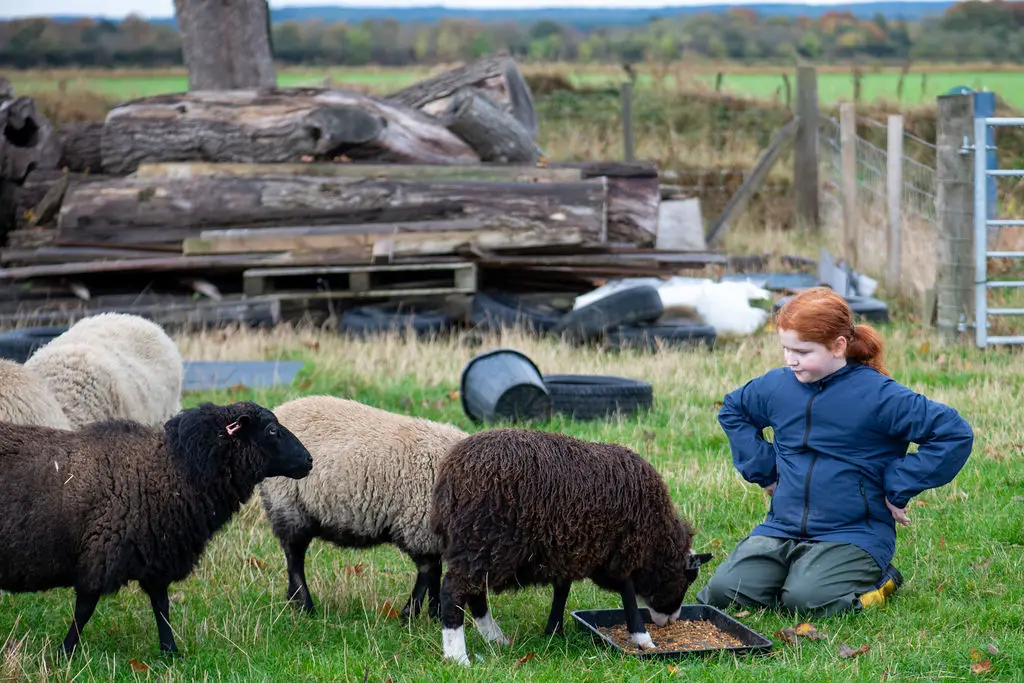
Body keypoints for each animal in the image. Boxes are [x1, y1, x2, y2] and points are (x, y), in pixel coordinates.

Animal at [0, 400, 313, 656]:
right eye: (271, 430)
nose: (309, 460)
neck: (171, 470)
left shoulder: (157, 552)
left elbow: (161, 605)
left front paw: (170, 652)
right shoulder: (102, 552)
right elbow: (85, 609)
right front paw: (65, 651)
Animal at [258, 395, 469, 622]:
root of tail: (282, 408)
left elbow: (435, 572)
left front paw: (434, 613)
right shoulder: (417, 526)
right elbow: (428, 570)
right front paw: (409, 616)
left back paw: (294, 601)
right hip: (288, 504)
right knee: (294, 557)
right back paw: (305, 606)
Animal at [429, 427, 712, 665]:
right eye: (686, 580)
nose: (672, 621)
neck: (657, 541)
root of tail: (450, 475)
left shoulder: (567, 550)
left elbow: (562, 591)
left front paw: (554, 631)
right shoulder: (622, 552)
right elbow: (629, 596)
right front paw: (643, 640)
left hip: (480, 549)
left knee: (476, 593)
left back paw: (495, 638)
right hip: (484, 542)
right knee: (453, 592)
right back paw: (457, 656)